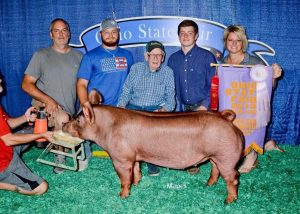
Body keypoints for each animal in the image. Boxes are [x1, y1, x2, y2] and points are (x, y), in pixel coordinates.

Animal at [62, 105, 244, 204]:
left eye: (78, 120)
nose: (63, 123)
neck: (107, 128)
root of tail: (226, 119)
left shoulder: (121, 158)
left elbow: (124, 179)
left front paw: (122, 196)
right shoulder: (134, 156)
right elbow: (136, 169)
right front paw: (137, 183)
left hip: (226, 157)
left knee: (233, 178)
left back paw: (228, 201)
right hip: (215, 157)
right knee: (215, 170)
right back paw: (208, 185)